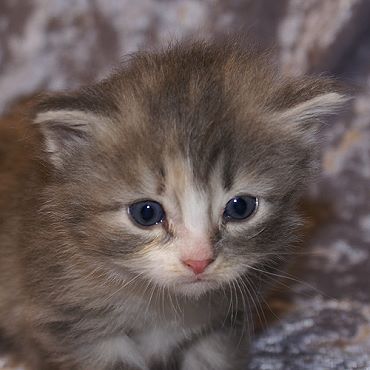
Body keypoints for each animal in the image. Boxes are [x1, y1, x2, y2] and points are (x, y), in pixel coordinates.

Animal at [0, 41, 346, 370]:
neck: (165, 304)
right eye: (146, 213)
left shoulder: (222, 324)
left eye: (241, 207)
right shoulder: (75, 325)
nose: (198, 261)